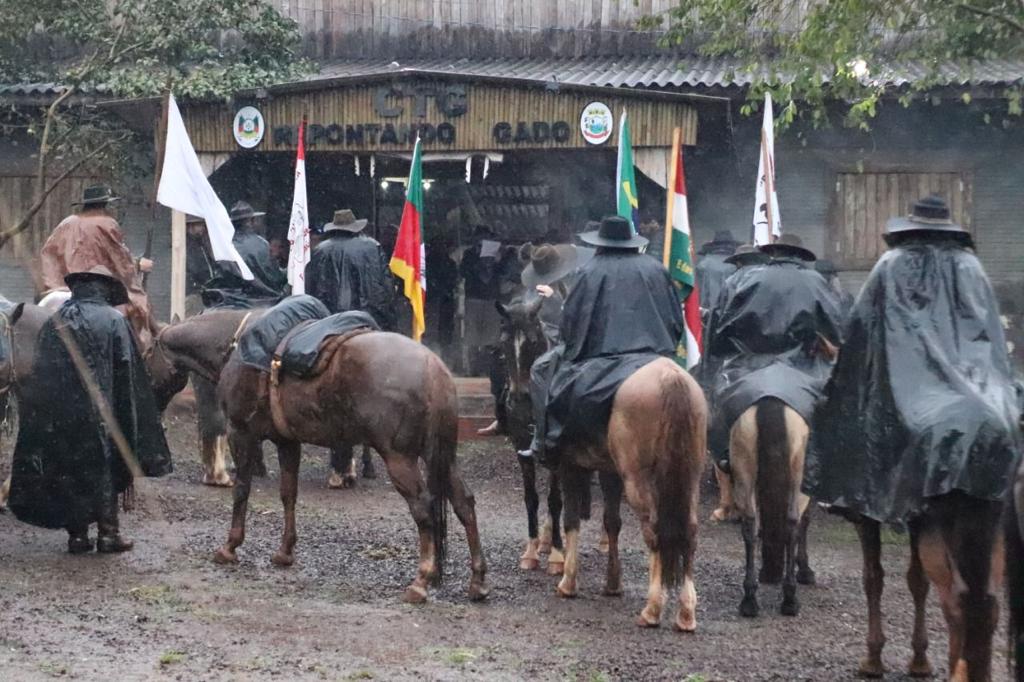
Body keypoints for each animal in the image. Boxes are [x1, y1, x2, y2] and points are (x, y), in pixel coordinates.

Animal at [552, 358, 704, 630]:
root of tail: (670, 377)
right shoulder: (610, 471)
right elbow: (612, 522)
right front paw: (613, 583)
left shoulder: (568, 464)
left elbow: (571, 520)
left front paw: (568, 582)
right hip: (690, 479)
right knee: (690, 533)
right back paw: (686, 613)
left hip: (637, 480)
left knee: (653, 531)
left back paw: (652, 609)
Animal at [729, 395, 815, 614]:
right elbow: (805, 521)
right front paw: (805, 571)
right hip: (798, 476)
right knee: (792, 524)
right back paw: (790, 599)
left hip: (743, 467)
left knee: (750, 526)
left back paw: (749, 599)